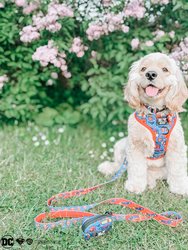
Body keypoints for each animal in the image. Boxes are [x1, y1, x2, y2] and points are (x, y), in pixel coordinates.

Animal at [98, 52, 188, 195]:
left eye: (165, 69)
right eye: (143, 68)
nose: (150, 74)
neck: (155, 114)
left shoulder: (177, 147)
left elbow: (177, 170)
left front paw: (180, 188)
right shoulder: (135, 146)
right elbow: (136, 169)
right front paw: (135, 186)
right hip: (121, 145)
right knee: (119, 165)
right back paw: (108, 167)